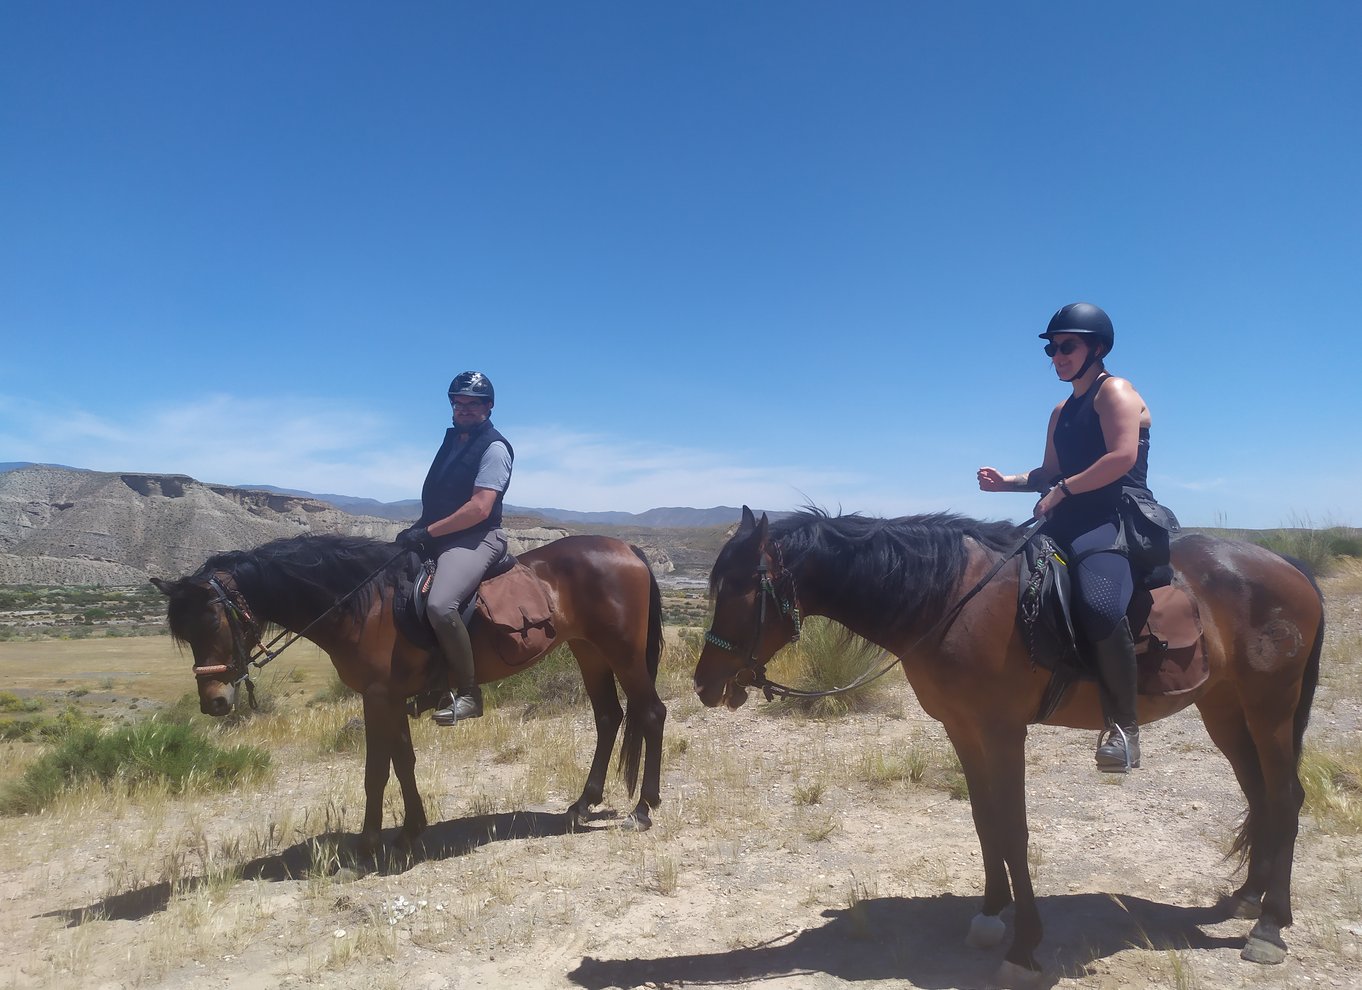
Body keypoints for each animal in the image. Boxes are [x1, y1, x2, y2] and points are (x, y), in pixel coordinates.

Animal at [154, 533, 664, 849]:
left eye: (213, 620)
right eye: (183, 632)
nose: (214, 701)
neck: (362, 605)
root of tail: (628, 548)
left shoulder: (377, 696)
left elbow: (376, 770)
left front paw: (367, 844)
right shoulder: (388, 697)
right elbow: (402, 761)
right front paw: (410, 830)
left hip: (621, 652)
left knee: (650, 714)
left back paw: (643, 810)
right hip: (588, 650)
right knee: (609, 717)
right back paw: (582, 805)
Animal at [691, 506, 1318, 985]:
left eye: (740, 591)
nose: (704, 684)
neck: (948, 601)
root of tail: (1291, 566)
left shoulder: (1001, 730)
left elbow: (1014, 830)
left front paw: (1025, 946)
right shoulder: (962, 728)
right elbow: (984, 821)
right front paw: (992, 915)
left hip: (1270, 708)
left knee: (1285, 799)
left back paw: (1269, 928)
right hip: (1225, 710)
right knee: (1261, 796)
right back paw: (1246, 898)